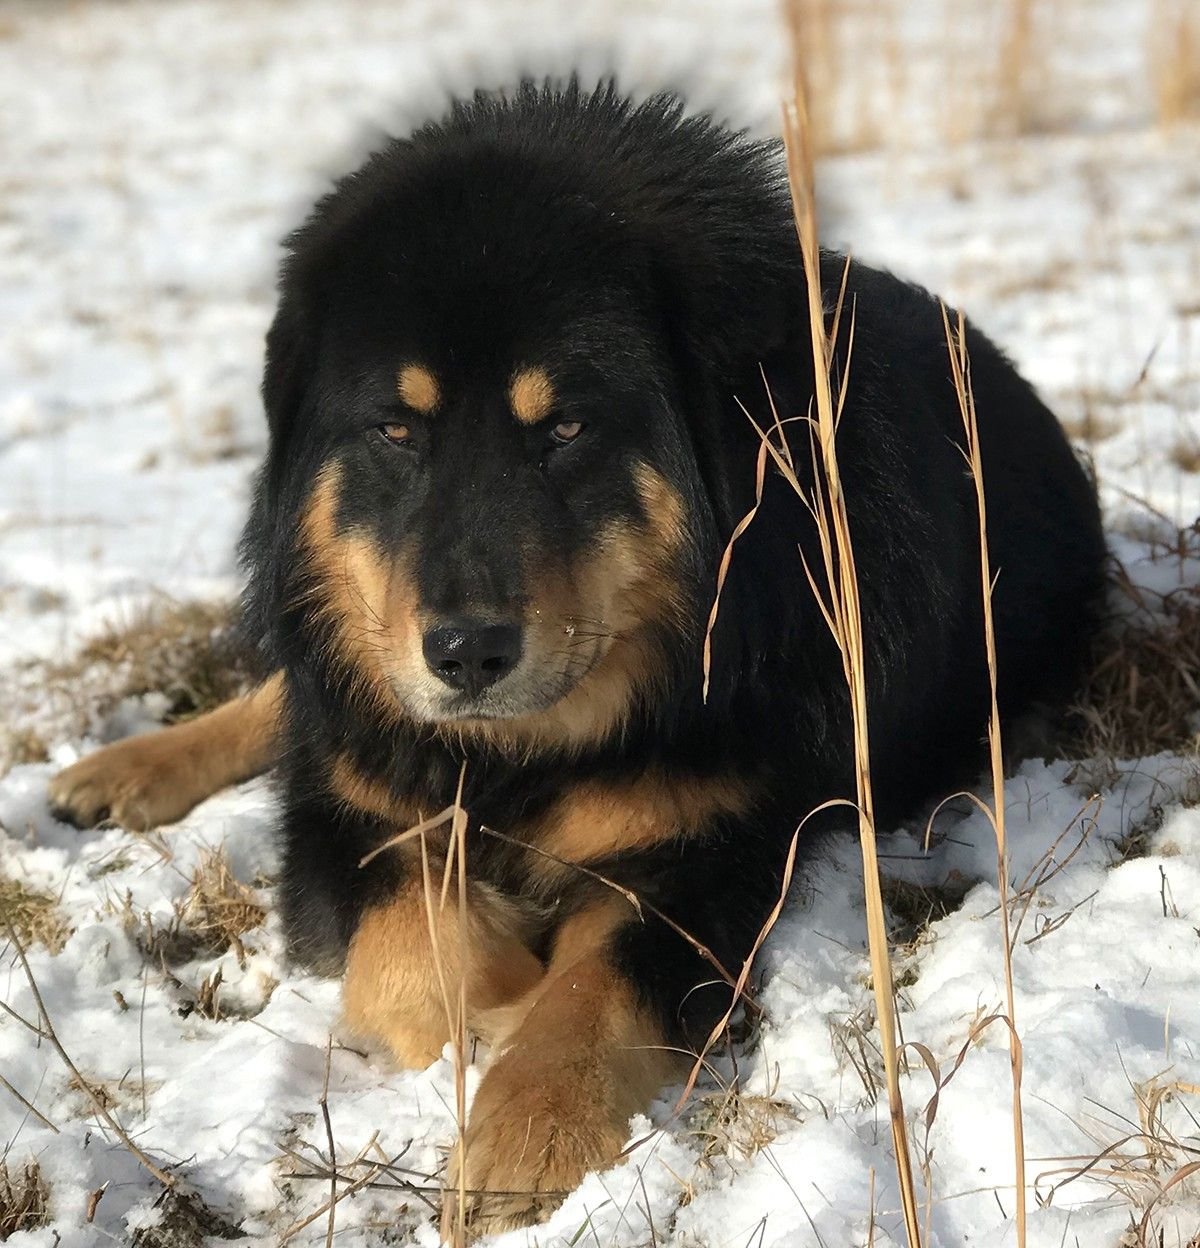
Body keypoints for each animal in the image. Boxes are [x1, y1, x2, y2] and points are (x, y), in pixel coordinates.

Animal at [49, 82, 1102, 1233]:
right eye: (396, 429)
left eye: (565, 428)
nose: (466, 650)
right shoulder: (350, 812)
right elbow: (413, 953)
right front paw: (496, 1011)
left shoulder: (704, 852)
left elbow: (589, 993)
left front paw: (525, 1128)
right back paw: (121, 769)